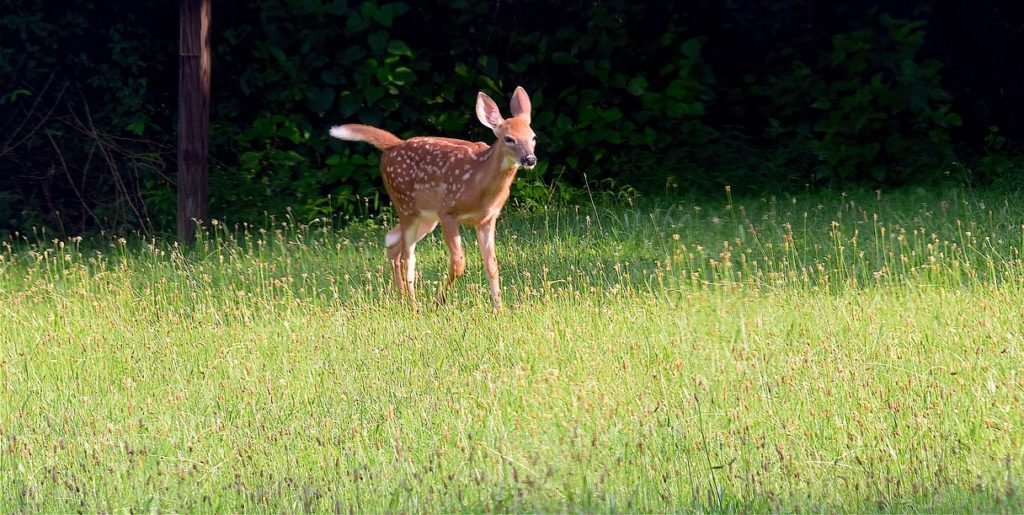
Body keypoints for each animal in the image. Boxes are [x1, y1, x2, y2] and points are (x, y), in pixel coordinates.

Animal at [329, 87, 537, 312]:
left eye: (533, 137)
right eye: (508, 138)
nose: (530, 159)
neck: (478, 181)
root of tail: (394, 145)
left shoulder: (487, 219)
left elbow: (491, 264)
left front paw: (498, 309)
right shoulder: (448, 212)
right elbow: (458, 262)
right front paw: (437, 302)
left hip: (426, 217)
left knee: (392, 241)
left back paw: (402, 297)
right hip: (405, 206)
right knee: (407, 257)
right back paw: (414, 305)